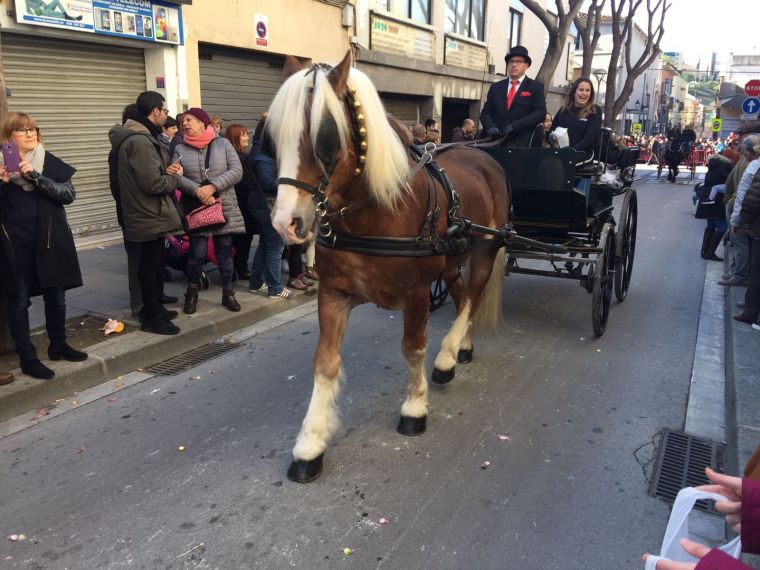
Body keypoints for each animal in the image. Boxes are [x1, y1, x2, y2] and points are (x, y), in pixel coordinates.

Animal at [266, 52, 510, 480]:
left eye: (326, 137)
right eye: (275, 137)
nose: (285, 224)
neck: (375, 210)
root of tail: (483, 156)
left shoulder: (416, 295)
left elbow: (413, 348)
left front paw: (414, 409)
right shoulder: (333, 293)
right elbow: (325, 362)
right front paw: (311, 443)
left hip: (485, 251)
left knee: (473, 298)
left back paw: (446, 357)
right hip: (452, 262)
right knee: (463, 296)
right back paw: (459, 348)